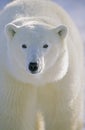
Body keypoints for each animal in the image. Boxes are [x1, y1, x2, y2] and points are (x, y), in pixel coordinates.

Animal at [0, 0, 84, 130]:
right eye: (24, 45)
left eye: (45, 45)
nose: (34, 65)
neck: (38, 80)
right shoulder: (14, 79)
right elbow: (16, 117)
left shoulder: (59, 81)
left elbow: (59, 115)